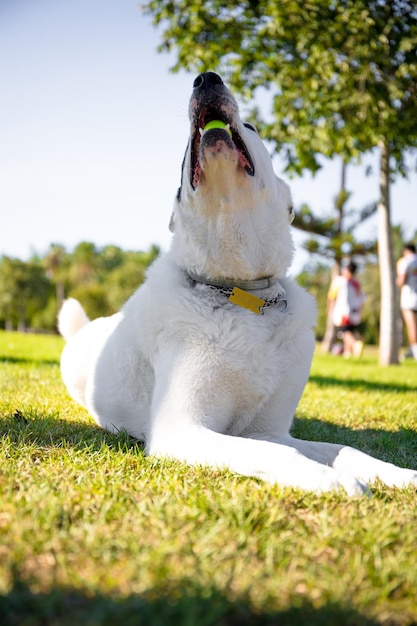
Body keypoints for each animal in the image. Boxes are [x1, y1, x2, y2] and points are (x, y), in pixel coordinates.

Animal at [59, 72, 416, 492]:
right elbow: (276, 454)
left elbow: (345, 450)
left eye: (252, 127)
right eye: (185, 151)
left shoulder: (269, 430)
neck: (239, 291)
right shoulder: (183, 428)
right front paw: (328, 478)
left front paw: (397, 473)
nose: (206, 78)